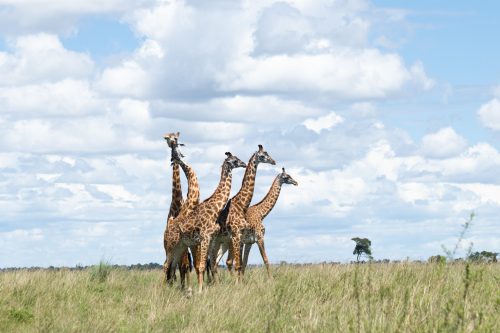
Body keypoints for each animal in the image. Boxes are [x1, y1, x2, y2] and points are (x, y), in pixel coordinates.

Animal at [165, 152, 245, 292]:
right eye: (235, 160)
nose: (244, 164)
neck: (215, 209)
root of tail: (170, 225)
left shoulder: (212, 239)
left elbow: (209, 264)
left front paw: (207, 288)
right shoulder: (205, 237)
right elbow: (202, 266)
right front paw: (200, 291)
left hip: (180, 247)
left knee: (172, 266)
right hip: (171, 245)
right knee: (166, 266)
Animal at [209, 144, 276, 282]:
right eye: (263, 155)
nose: (273, 161)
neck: (241, 205)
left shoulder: (241, 238)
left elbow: (240, 263)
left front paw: (240, 282)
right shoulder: (237, 236)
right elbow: (238, 264)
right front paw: (237, 284)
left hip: (220, 242)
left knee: (214, 263)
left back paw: (215, 283)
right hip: (213, 242)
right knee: (210, 262)